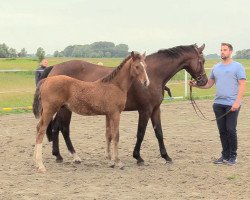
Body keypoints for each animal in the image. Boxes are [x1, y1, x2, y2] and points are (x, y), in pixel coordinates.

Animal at [42, 44, 207, 165]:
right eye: (202, 61)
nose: (204, 81)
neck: (154, 74)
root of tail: (54, 68)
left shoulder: (155, 109)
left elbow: (159, 132)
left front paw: (166, 156)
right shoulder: (145, 110)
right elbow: (140, 133)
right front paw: (138, 157)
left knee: (56, 127)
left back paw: (58, 155)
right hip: (64, 109)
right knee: (63, 128)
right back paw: (71, 156)